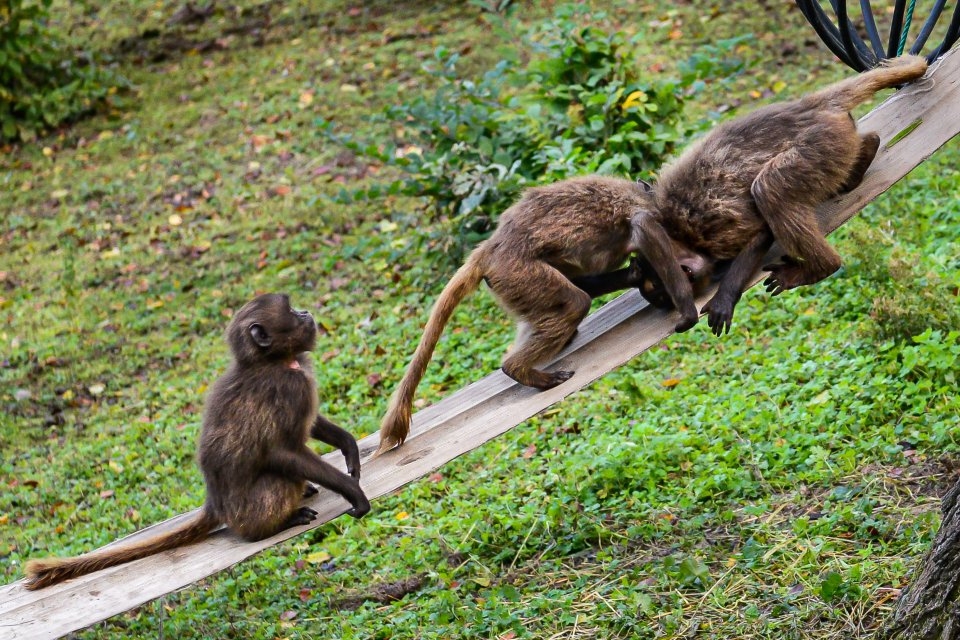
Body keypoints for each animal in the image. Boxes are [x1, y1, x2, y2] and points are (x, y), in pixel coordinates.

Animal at [25, 296, 372, 592]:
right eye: (290, 310)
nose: (306, 313)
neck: (272, 361)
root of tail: (215, 504)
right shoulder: (288, 387)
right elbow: (281, 451)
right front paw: (352, 491)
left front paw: (348, 448)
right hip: (246, 511)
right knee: (281, 480)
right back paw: (275, 524)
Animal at [572, 53, 928, 340]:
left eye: (661, 298)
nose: (664, 308)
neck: (675, 232)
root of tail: (811, 106)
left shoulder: (709, 227)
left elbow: (760, 232)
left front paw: (725, 295)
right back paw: (865, 151)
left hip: (821, 141)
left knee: (769, 188)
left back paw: (822, 266)